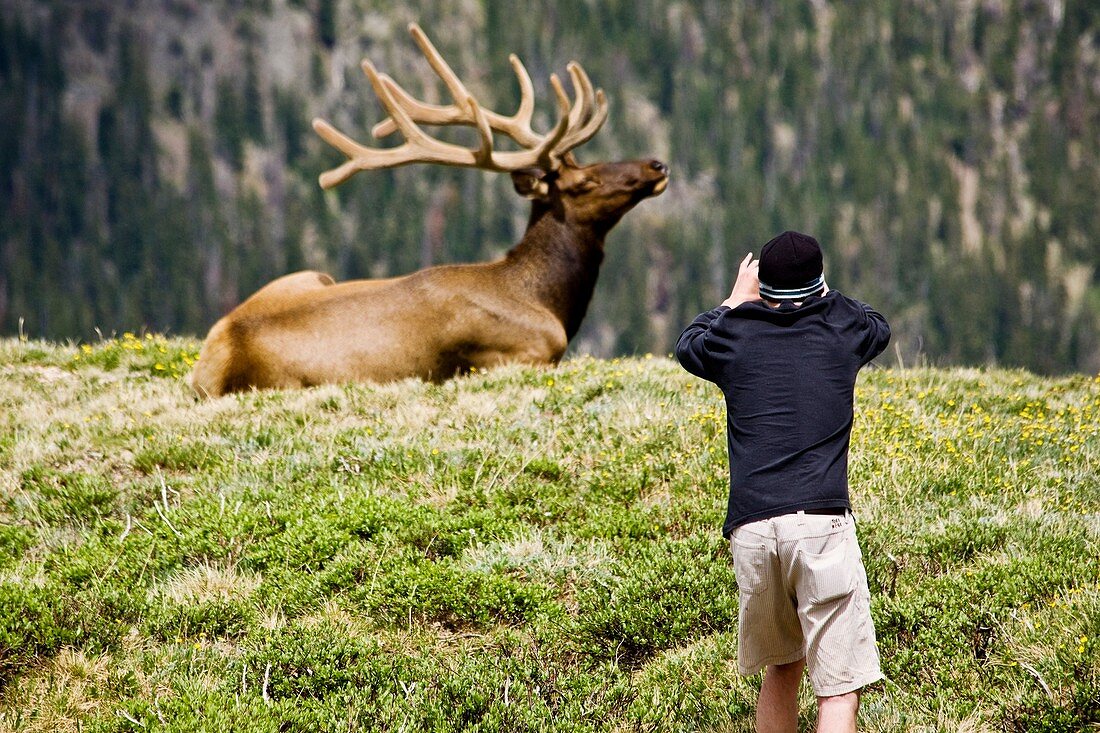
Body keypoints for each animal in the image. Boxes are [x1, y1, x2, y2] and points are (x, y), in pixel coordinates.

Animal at [189, 22, 664, 396]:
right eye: (585, 181)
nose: (655, 165)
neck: (545, 298)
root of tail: (219, 361)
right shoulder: (525, 351)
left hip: (306, 275)